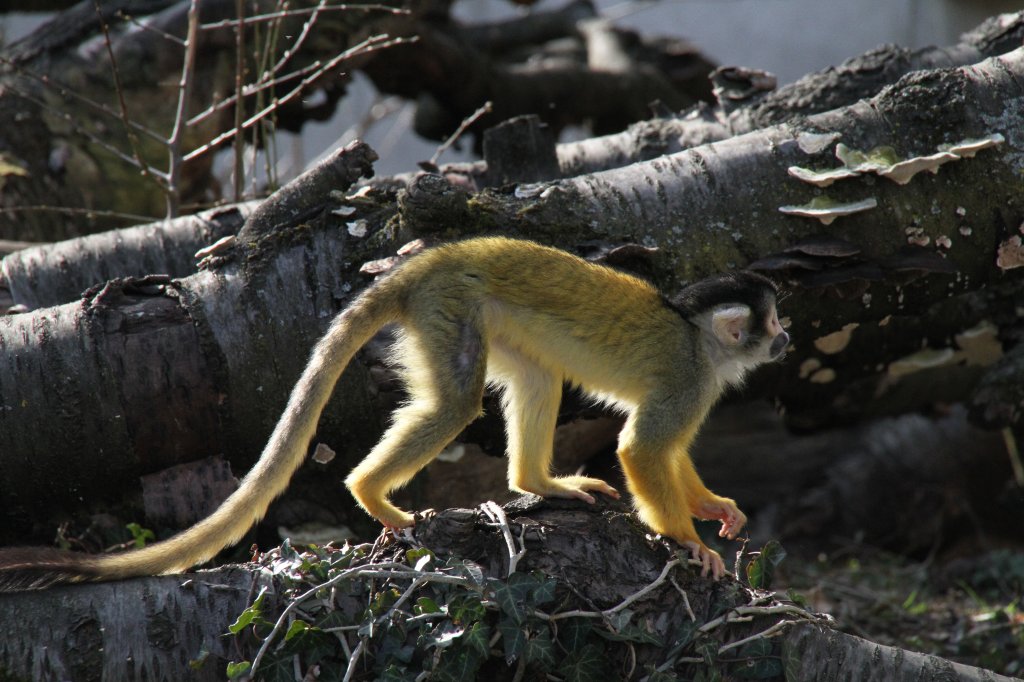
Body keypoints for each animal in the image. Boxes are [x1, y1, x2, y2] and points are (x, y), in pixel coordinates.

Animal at [0, 236, 790, 585]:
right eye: (771, 322)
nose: (785, 338)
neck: (697, 337)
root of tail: (424, 263)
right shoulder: (690, 376)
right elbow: (641, 451)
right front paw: (688, 542)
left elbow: (666, 453)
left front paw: (712, 509)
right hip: (451, 308)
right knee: (458, 401)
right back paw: (370, 494)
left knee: (534, 375)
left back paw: (536, 485)